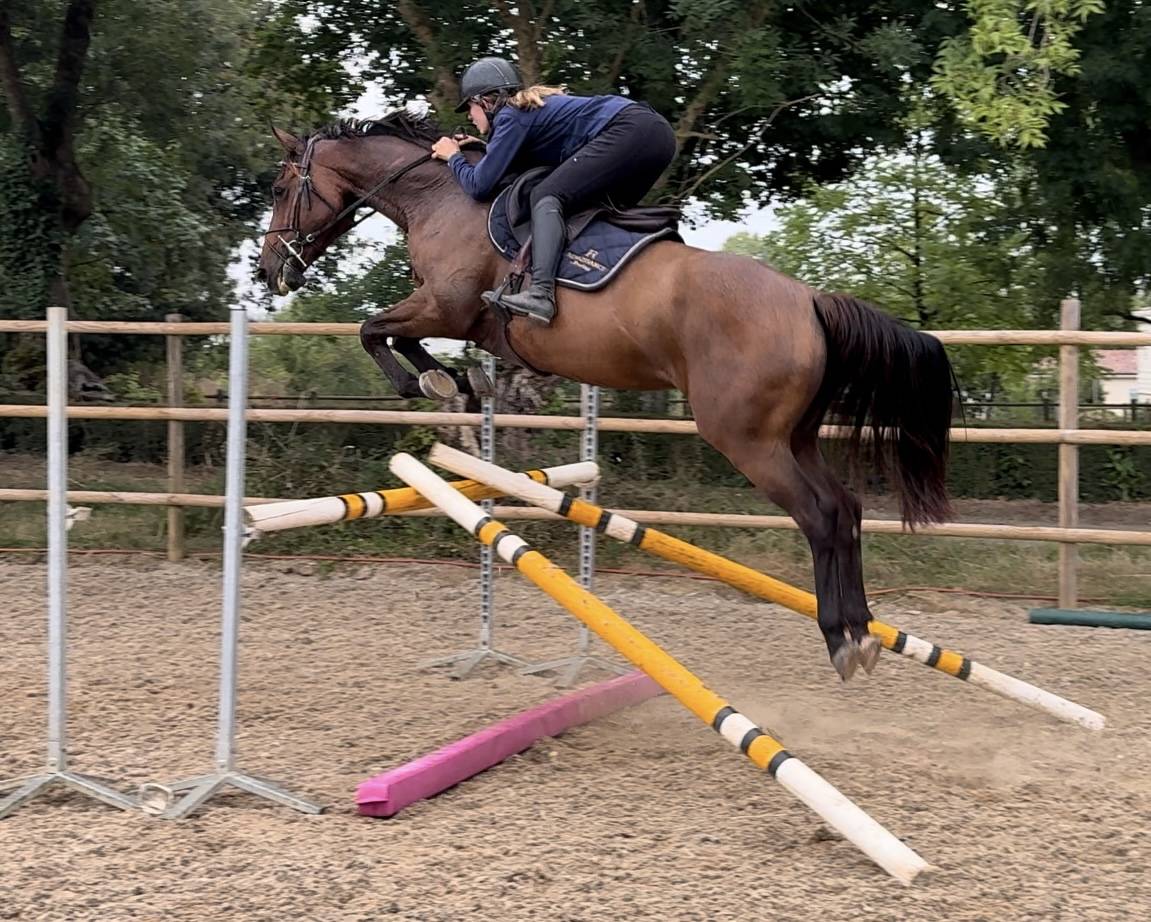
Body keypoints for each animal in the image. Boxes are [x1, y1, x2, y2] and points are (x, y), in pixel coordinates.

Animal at [256, 110, 956, 681]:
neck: (442, 196)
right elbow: (395, 336)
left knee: (822, 515)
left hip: (748, 439)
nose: (269, 271)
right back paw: (861, 632)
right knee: (847, 508)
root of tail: (809, 301)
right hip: (795, 435)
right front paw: (457, 379)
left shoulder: (446, 305)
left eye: (280, 189)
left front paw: (425, 380)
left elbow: (373, 329)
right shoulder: (451, 315)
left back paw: (843, 640)